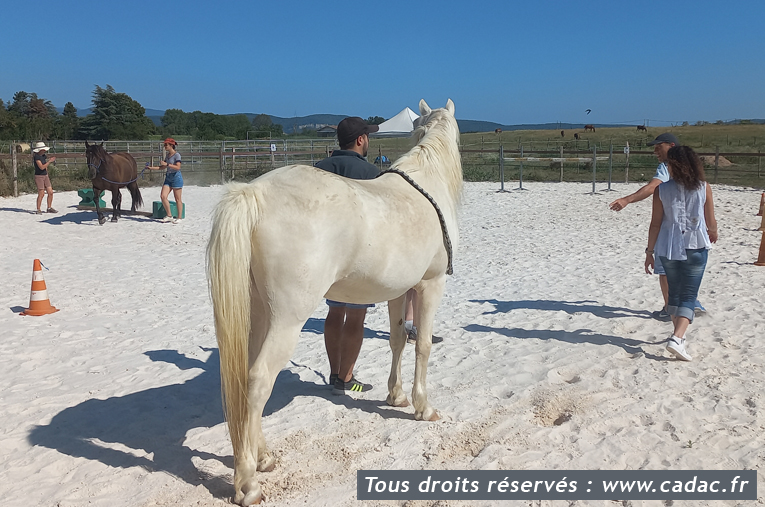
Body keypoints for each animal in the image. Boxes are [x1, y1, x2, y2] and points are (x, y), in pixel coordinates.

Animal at [206, 98, 462, 504]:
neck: (427, 182)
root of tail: (254, 195)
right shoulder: (430, 286)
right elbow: (422, 345)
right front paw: (424, 407)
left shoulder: (398, 292)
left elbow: (397, 340)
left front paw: (396, 396)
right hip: (287, 319)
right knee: (259, 380)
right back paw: (248, 484)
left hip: (260, 313)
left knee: (246, 378)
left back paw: (263, 458)